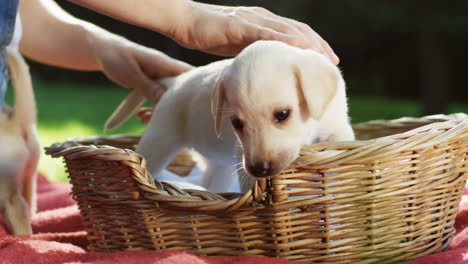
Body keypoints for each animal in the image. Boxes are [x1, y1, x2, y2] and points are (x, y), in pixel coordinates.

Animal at [105, 41, 354, 193]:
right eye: (236, 123)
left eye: (283, 115)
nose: (259, 169)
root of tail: (176, 80)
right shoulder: (240, 153)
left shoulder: (337, 126)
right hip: (160, 141)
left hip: (218, 167)